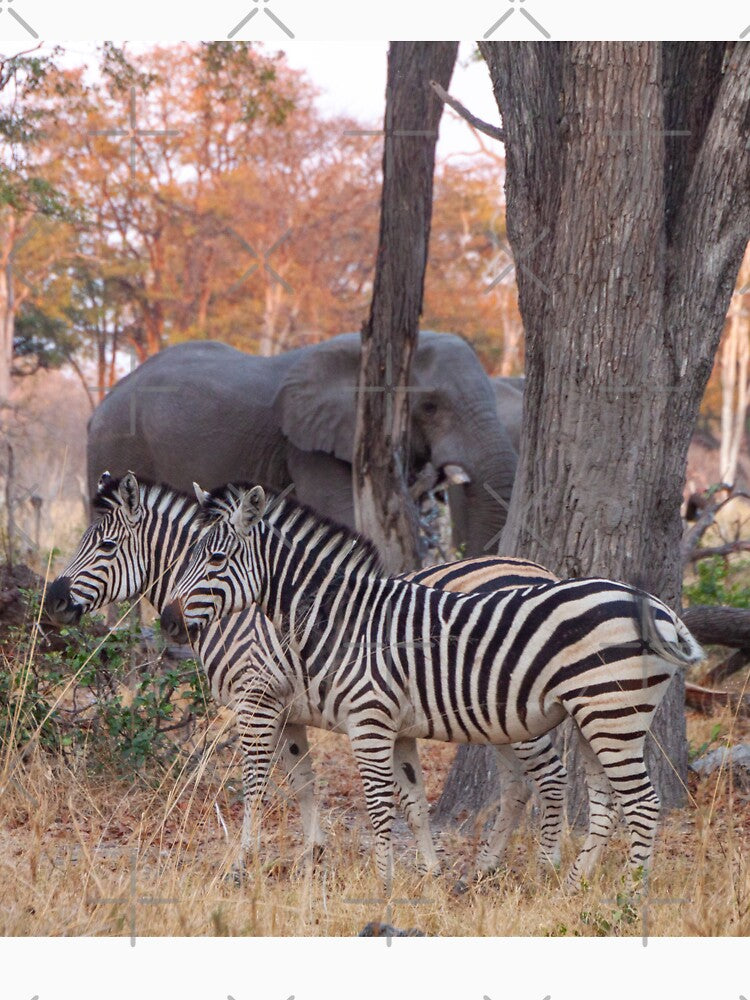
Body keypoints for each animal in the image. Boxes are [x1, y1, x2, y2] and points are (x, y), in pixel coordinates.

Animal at [47, 471, 581, 878]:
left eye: (106, 546)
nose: (52, 602)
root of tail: (544, 572)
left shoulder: (257, 701)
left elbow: (257, 782)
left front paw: (243, 863)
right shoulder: (289, 711)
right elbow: (303, 780)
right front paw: (313, 855)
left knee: (551, 777)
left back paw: (549, 868)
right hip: (497, 714)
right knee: (517, 785)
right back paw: (485, 869)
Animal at [161, 482, 703, 890]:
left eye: (215, 560)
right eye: (184, 557)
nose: (168, 621)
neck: (345, 620)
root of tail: (661, 608)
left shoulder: (364, 720)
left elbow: (378, 804)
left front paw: (383, 884)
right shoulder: (391, 726)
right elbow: (408, 802)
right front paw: (418, 874)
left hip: (611, 712)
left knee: (642, 803)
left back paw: (628, 896)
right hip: (596, 714)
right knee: (605, 799)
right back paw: (572, 886)